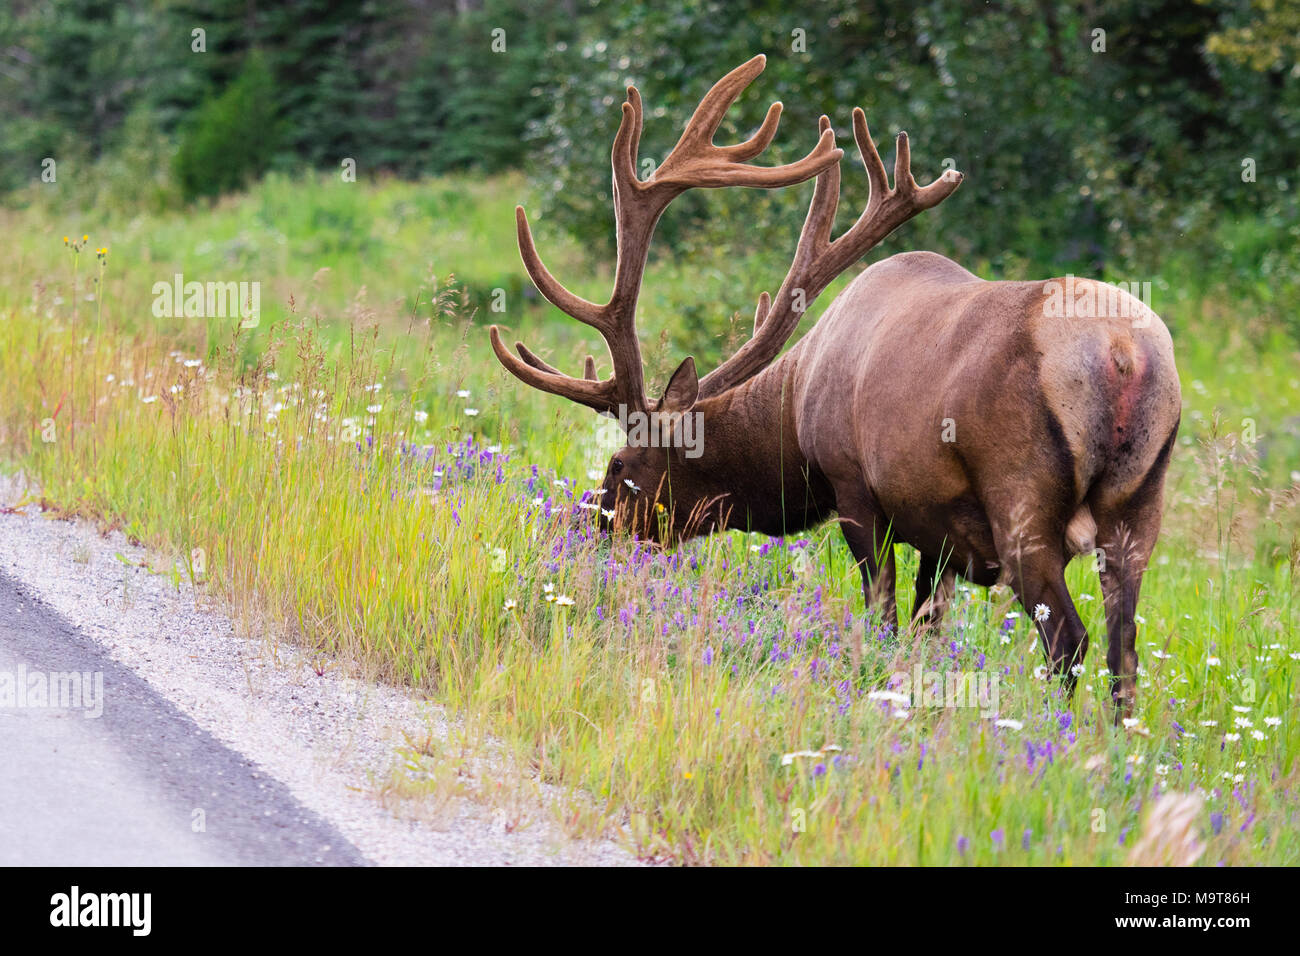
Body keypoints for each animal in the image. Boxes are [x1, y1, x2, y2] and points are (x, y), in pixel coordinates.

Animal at [488, 52, 1180, 712]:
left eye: (618, 465)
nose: (582, 529)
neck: (794, 417)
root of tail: (1124, 356)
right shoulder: (939, 532)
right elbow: (926, 627)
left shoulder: (854, 487)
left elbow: (884, 617)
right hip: (1139, 507)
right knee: (1124, 651)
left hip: (1021, 498)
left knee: (1069, 639)